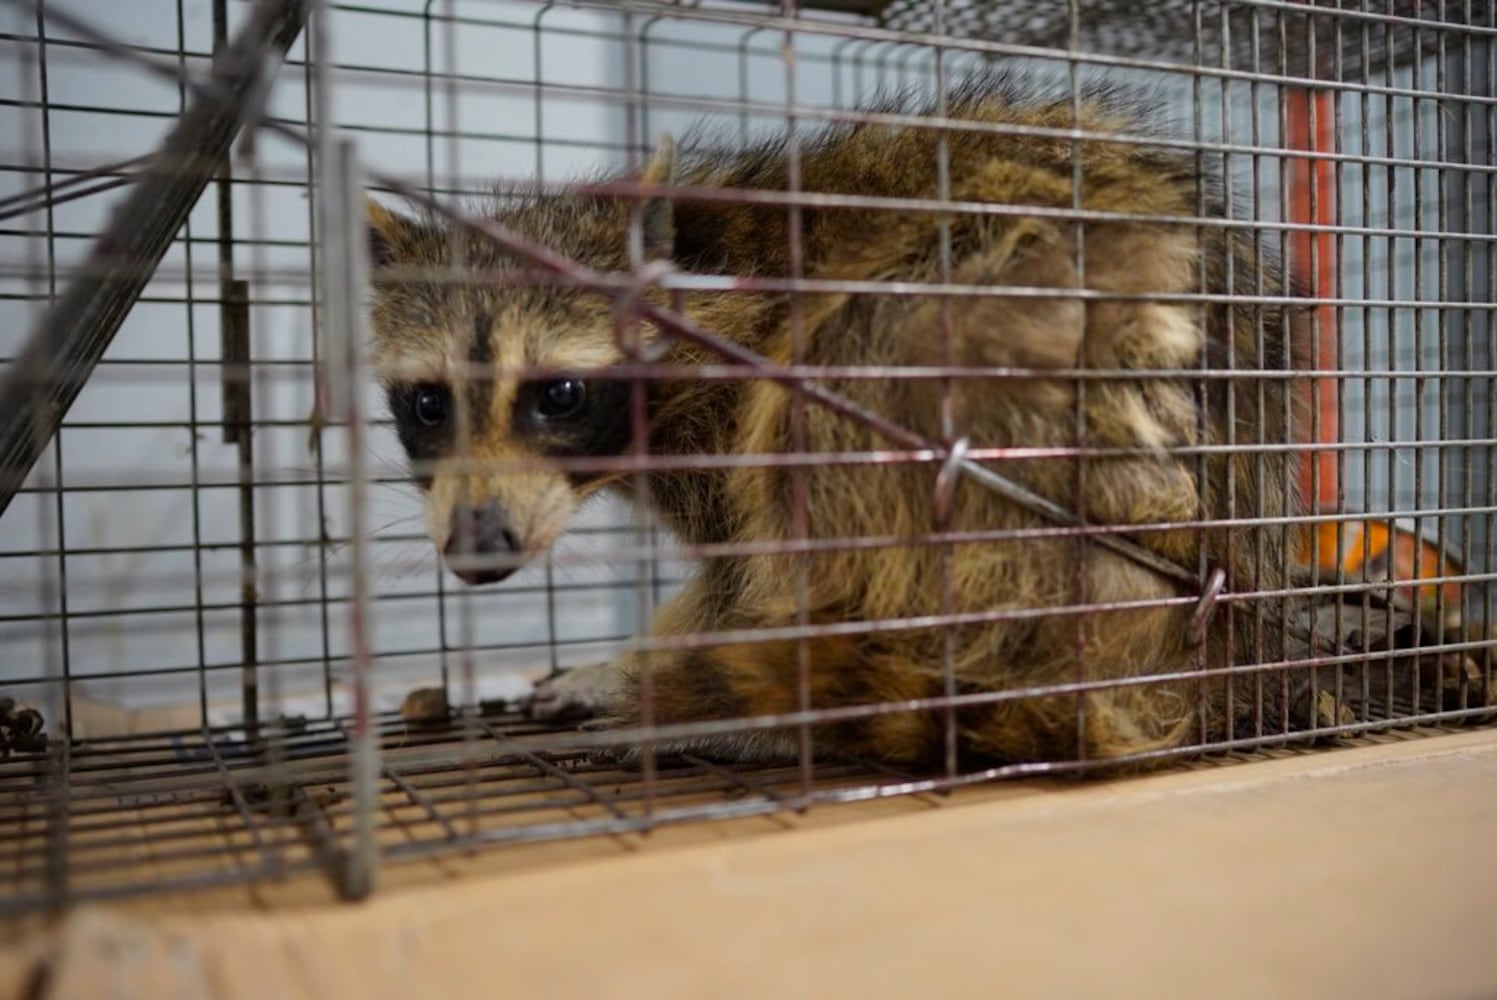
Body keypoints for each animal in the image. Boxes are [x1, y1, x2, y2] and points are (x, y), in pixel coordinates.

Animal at [365, 72, 1311, 772]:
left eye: (557, 395)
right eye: (428, 403)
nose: (478, 544)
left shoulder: (731, 389)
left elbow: (746, 576)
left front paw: (642, 666)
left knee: (843, 379)